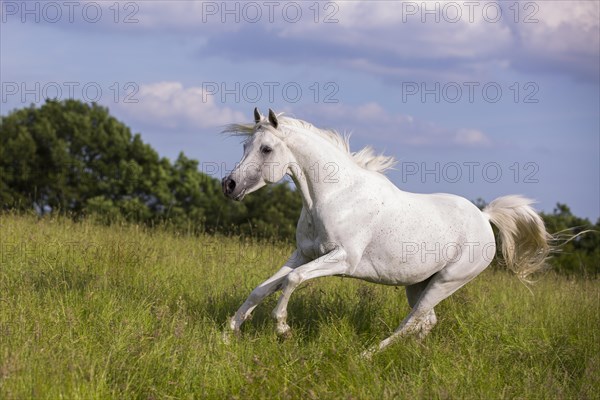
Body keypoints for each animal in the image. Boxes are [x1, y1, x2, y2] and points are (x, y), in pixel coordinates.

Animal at [223, 108, 552, 354]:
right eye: (245, 146)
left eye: (266, 148)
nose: (229, 185)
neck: (334, 196)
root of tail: (484, 217)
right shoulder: (303, 253)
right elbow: (263, 288)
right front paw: (230, 332)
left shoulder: (343, 259)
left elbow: (293, 280)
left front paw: (283, 329)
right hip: (418, 284)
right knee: (426, 321)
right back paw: (414, 353)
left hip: (447, 281)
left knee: (412, 321)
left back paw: (366, 355)